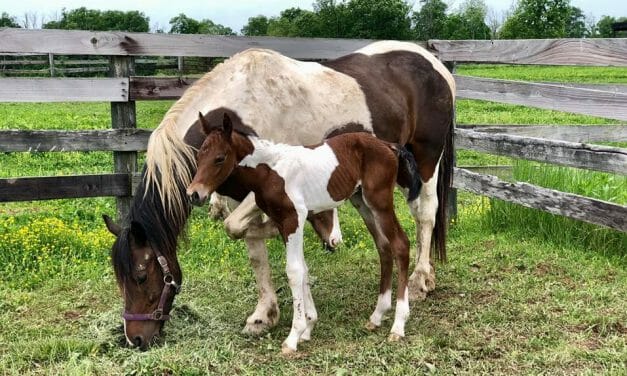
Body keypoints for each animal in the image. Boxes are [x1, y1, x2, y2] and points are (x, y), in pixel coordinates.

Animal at [186, 112, 422, 352]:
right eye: (199, 156)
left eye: (220, 158)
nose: (193, 194)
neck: (270, 171)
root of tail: (388, 145)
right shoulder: (284, 223)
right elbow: (303, 268)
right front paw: (308, 328)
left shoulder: (293, 218)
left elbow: (294, 271)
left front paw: (294, 336)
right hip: (363, 203)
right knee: (383, 246)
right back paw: (377, 316)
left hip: (379, 201)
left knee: (401, 245)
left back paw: (398, 325)